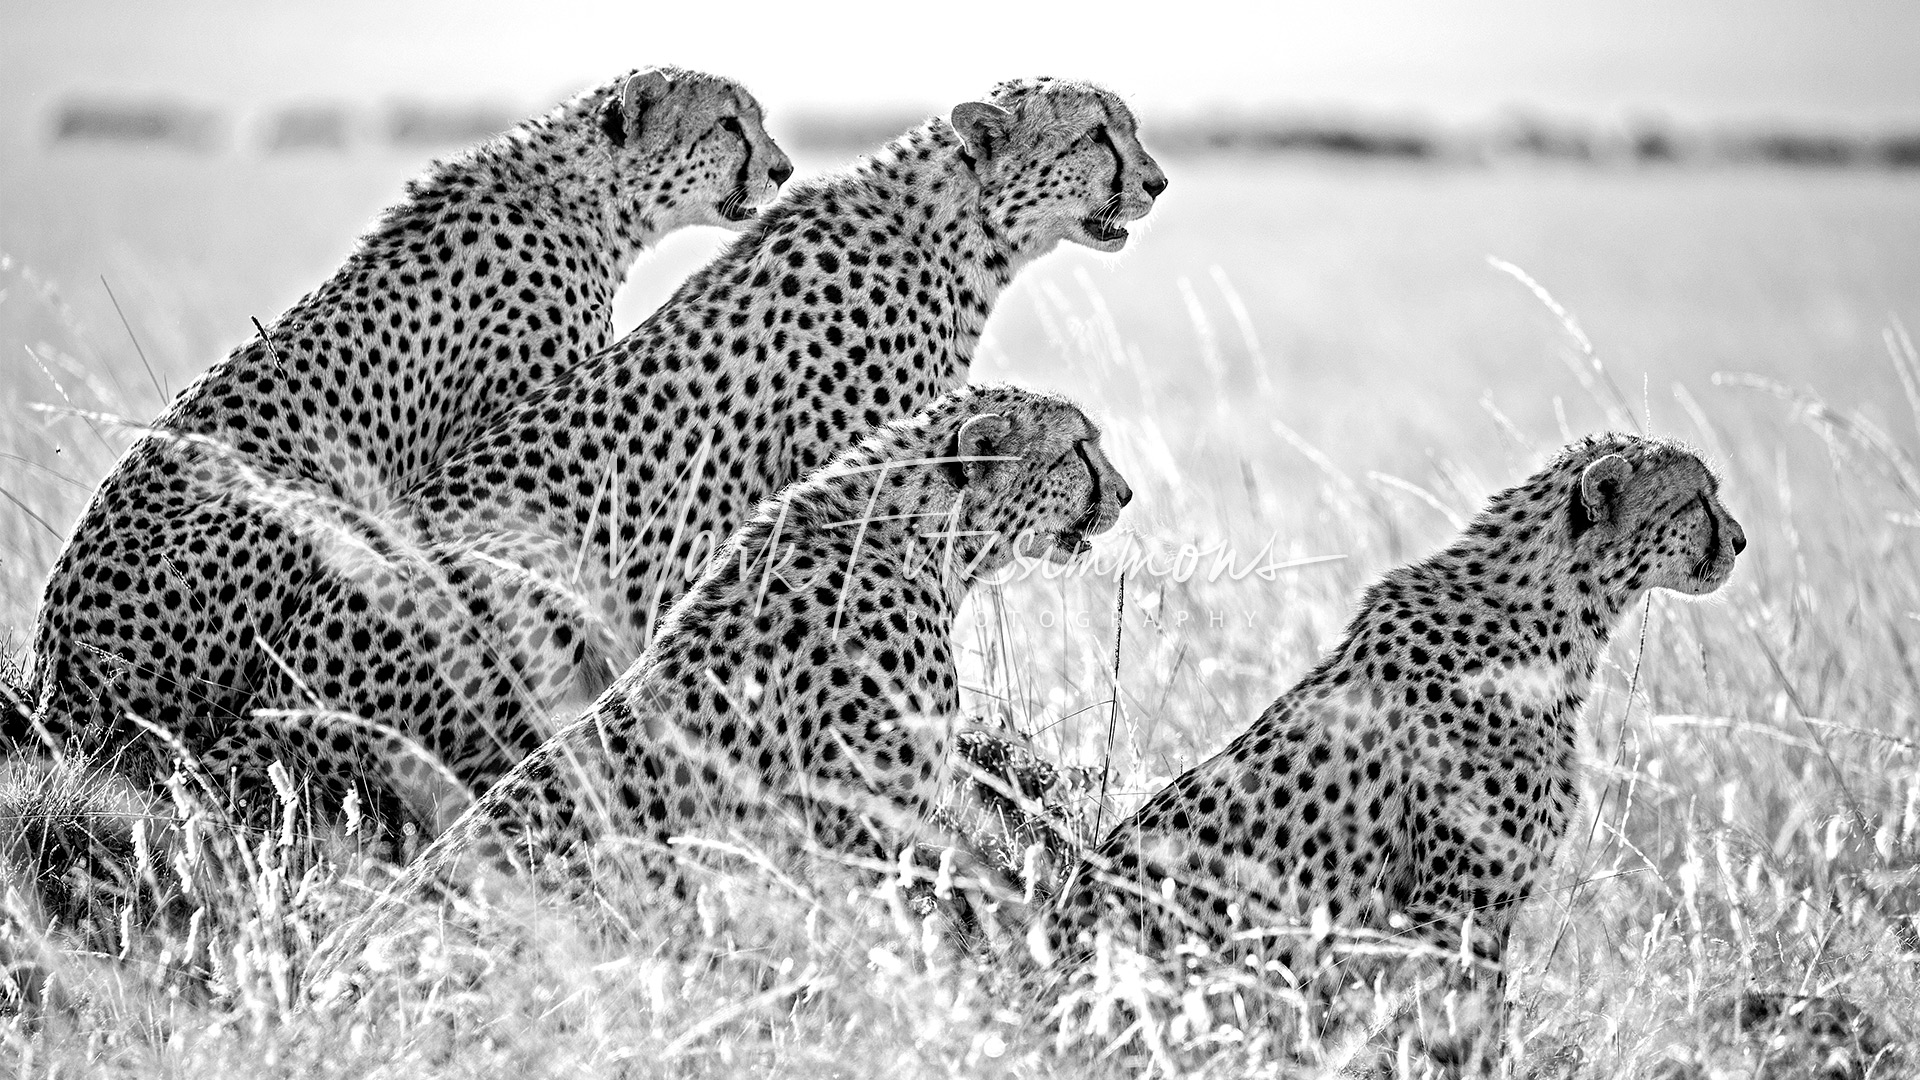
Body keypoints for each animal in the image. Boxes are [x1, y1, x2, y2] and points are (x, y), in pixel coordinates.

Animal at [1049, 433, 1745, 1027]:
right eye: (1697, 499)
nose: (1739, 541)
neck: (1551, 622)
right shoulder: (1453, 908)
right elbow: (1457, 1028)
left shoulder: (1479, 910)